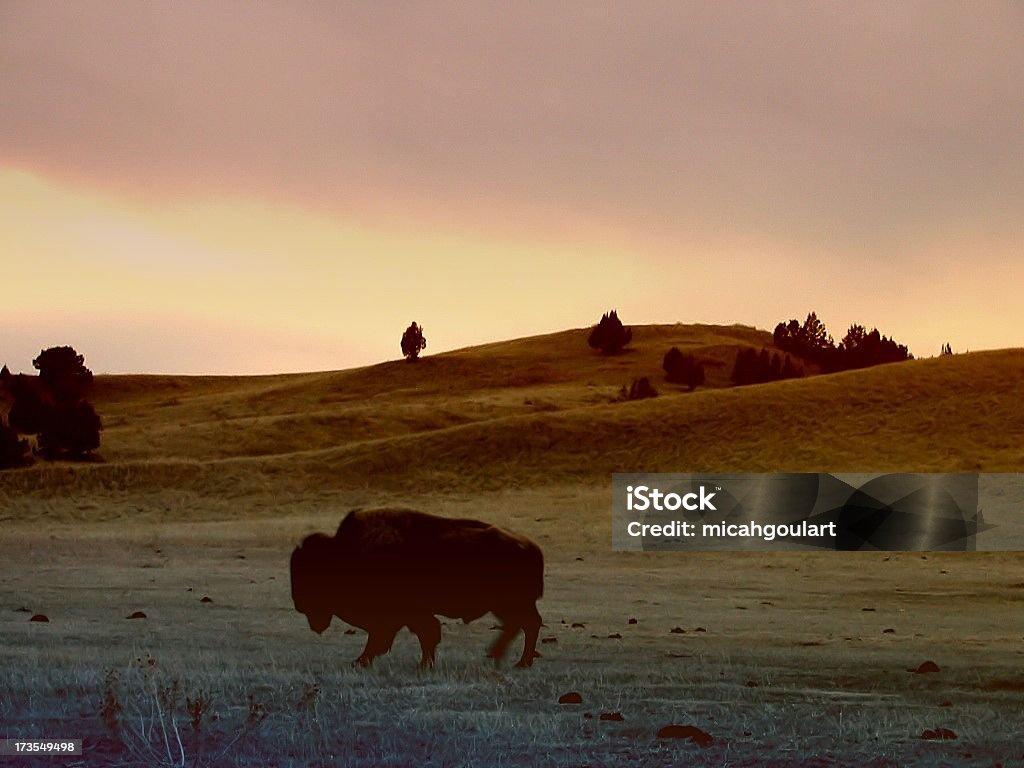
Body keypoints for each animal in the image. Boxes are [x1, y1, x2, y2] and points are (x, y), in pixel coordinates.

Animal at [288, 512, 544, 667]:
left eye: (312, 575)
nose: (299, 604)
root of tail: (529, 545)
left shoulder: (400, 614)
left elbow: (412, 634)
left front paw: (361, 661)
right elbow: (424, 634)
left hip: (511, 603)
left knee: (527, 624)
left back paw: (520, 662)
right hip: (506, 605)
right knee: (520, 625)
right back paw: (499, 656)